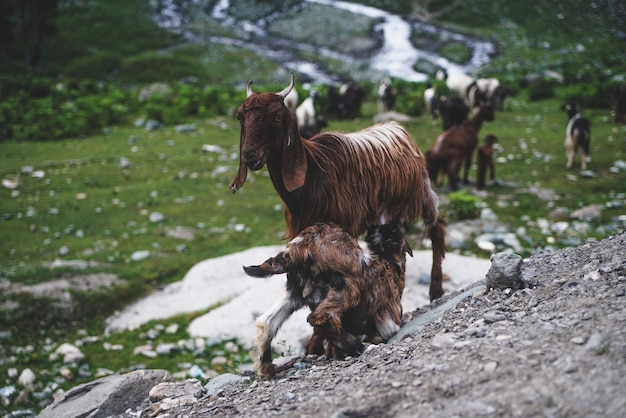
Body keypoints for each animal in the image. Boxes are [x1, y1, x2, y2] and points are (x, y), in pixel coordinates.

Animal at [229, 74, 444, 304]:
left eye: (277, 117)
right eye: (240, 117)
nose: (250, 155)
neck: (312, 175)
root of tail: (398, 129)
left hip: (420, 193)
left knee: (437, 225)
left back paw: (436, 289)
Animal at [240, 220, 410, 378]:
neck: (388, 263)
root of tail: (302, 244)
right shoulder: (389, 316)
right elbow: (388, 329)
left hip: (295, 293)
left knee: (266, 322)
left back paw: (265, 368)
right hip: (349, 287)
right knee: (323, 316)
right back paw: (358, 347)